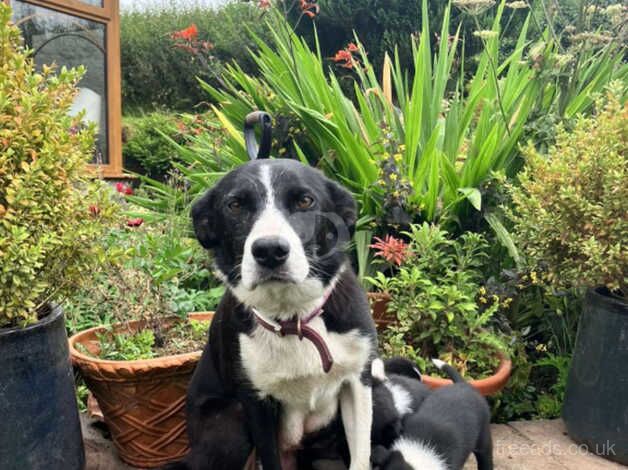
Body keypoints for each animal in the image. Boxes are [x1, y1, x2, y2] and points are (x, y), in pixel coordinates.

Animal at [179, 159, 380, 470]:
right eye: (235, 205)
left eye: (305, 201)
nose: (270, 250)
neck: (294, 319)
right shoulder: (257, 404)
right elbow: (270, 459)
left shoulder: (359, 382)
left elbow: (360, 456)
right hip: (232, 423)